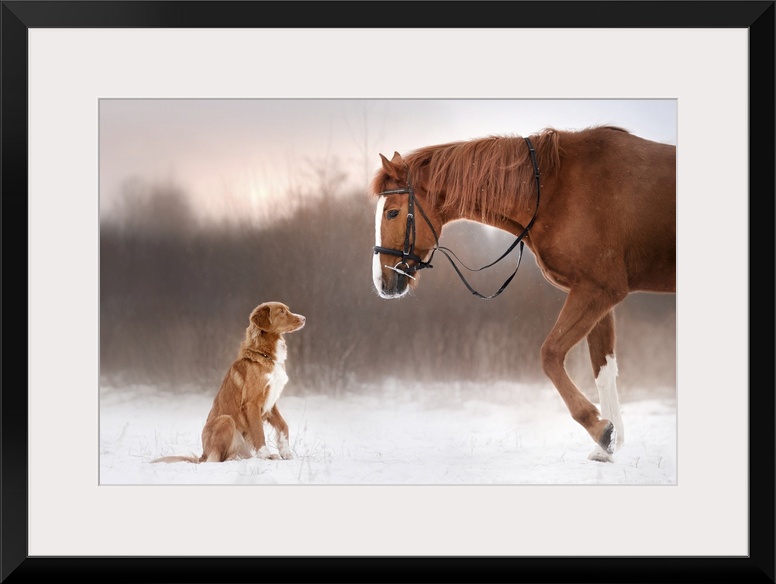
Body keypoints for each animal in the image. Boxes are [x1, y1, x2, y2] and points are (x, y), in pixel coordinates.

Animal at [152, 304, 306, 464]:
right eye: (281, 312)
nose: (304, 318)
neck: (265, 355)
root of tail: (203, 455)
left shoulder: (271, 403)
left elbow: (283, 425)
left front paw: (285, 451)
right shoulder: (252, 403)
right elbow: (259, 431)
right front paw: (265, 455)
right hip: (226, 420)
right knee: (219, 458)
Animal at [370, 126, 672, 460]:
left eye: (392, 213)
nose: (383, 281)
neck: (555, 188)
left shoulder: (598, 290)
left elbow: (550, 355)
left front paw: (600, 429)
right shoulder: (599, 297)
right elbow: (603, 369)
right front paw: (607, 445)